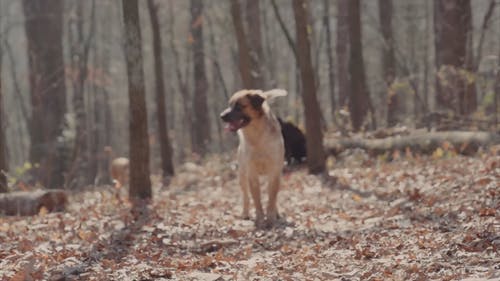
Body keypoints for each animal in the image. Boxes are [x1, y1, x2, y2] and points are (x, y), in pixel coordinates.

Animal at [219, 89, 286, 228]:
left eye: (239, 106)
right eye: (230, 104)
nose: (221, 116)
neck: (257, 137)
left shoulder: (274, 173)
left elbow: (272, 198)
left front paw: (270, 219)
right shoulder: (252, 174)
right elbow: (257, 200)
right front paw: (260, 219)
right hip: (242, 176)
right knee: (246, 197)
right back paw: (245, 213)